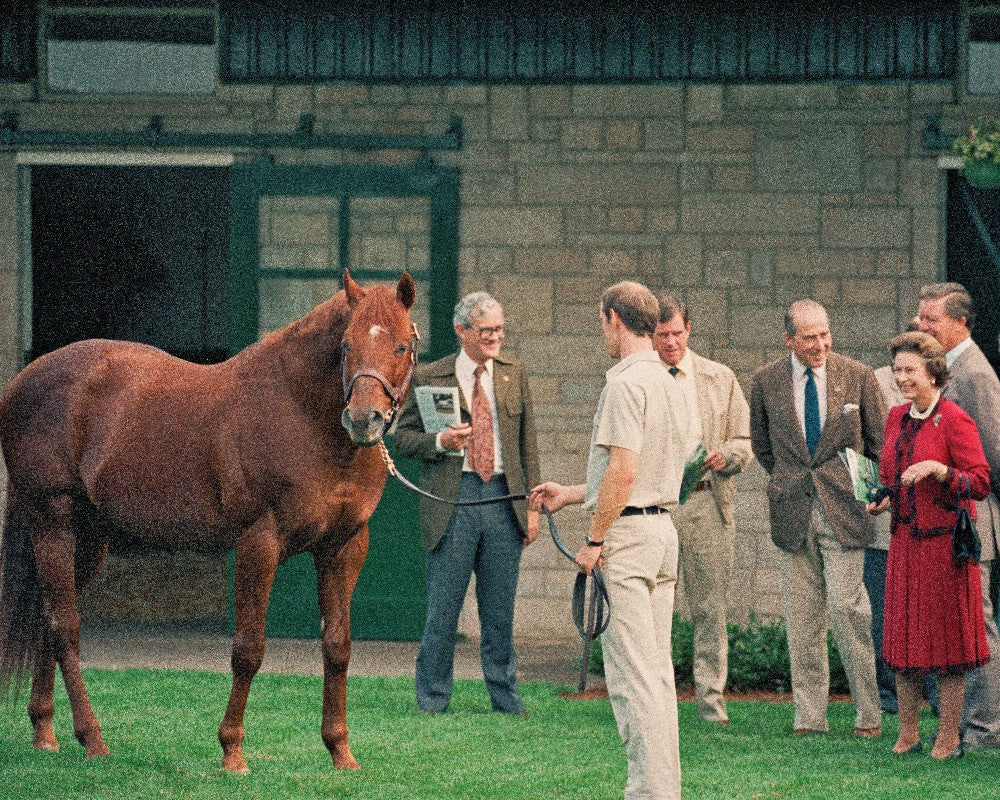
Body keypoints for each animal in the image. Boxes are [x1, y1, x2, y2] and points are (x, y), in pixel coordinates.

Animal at [0, 270, 416, 776]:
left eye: (402, 344)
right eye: (345, 346)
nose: (363, 420)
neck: (299, 413)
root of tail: (24, 378)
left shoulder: (343, 547)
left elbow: (337, 647)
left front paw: (340, 751)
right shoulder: (260, 541)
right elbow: (248, 650)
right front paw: (232, 752)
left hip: (88, 538)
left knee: (47, 617)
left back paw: (45, 733)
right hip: (52, 523)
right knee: (65, 627)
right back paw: (92, 739)